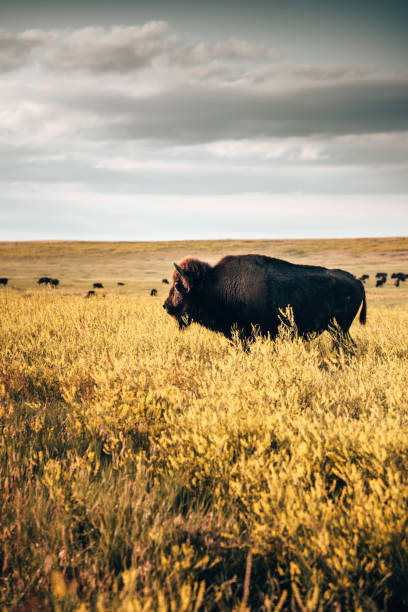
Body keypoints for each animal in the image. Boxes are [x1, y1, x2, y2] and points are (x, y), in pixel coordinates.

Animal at [163, 255, 366, 344]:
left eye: (178, 286)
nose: (166, 306)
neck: (213, 285)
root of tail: (356, 280)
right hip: (338, 330)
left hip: (340, 329)